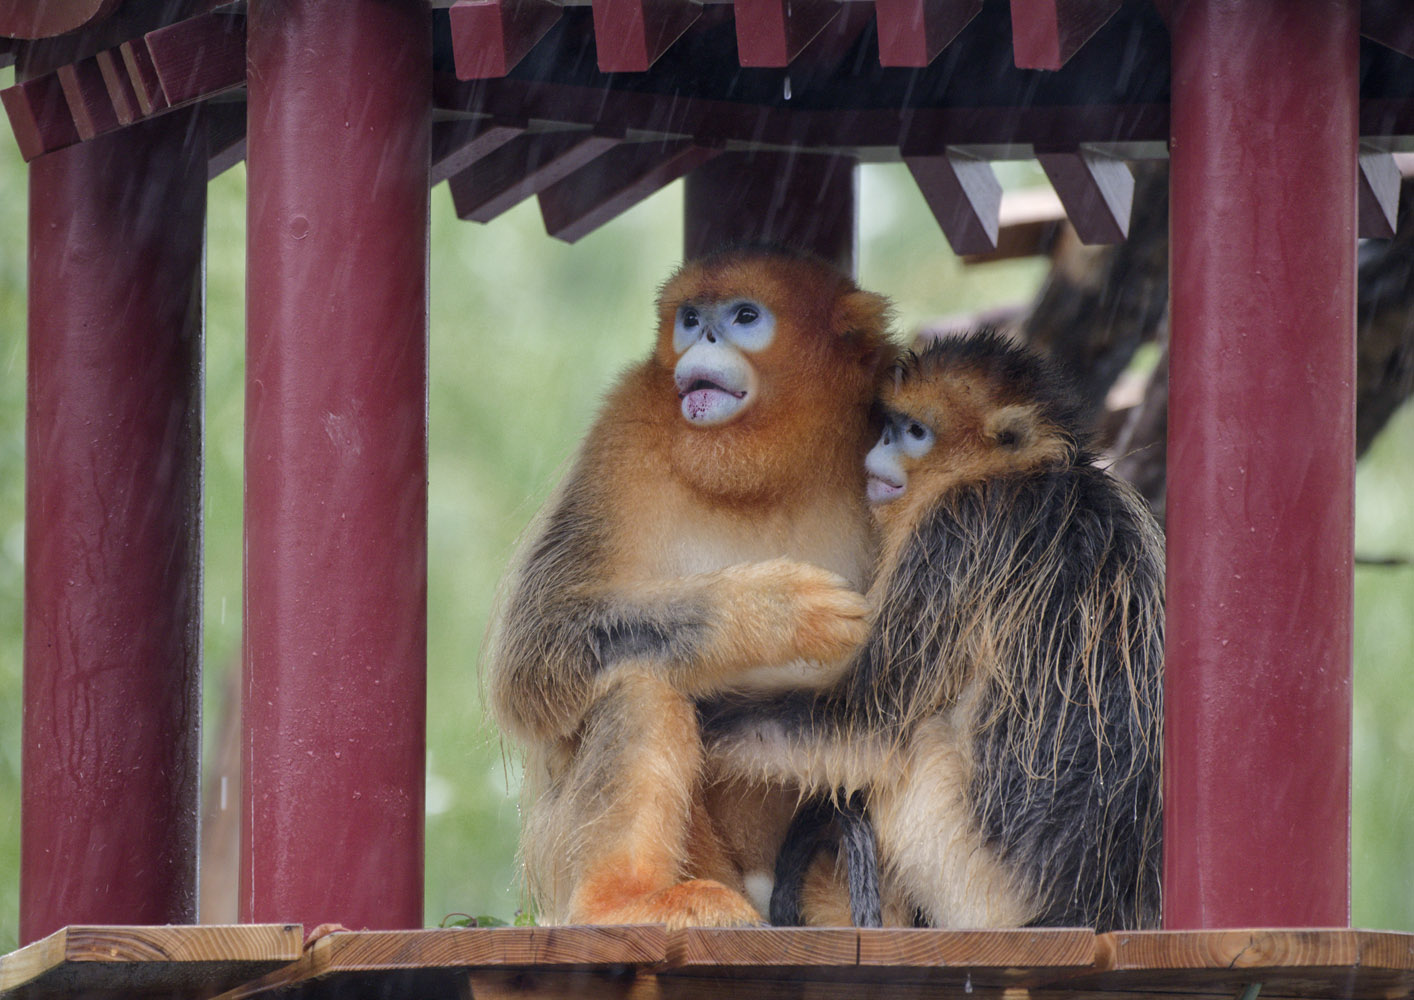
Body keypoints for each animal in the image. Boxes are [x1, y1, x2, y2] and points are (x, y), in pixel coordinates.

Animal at [485, 246, 895, 929]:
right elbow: (532, 650)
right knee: (641, 685)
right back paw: (621, 904)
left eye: (744, 316)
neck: (766, 474)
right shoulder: (624, 426)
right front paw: (773, 612)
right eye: (690, 317)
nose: (703, 336)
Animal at [704, 329, 1164, 931]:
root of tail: (1092, 907)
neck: (1024, 474)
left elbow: (866, 722)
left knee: (914, 739)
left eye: (915, 432)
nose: (878, 448)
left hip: (971, 879)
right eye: (890, 424)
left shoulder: (955, 532)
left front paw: (700, 719)